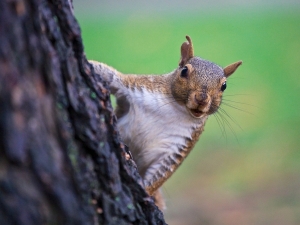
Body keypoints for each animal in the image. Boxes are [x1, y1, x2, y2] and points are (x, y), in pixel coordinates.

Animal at [88, 35, 241, 209]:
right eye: (184, 71)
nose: (202, 98)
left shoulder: (179, 145)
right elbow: (112, 76)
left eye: (224, 86)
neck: (176, 109)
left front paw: (146, 193)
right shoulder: (136, 87)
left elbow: (161, 174)